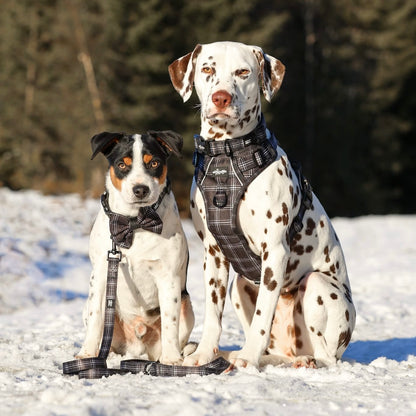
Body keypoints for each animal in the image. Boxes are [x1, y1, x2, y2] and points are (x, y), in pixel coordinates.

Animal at [77, 130, 195, 364]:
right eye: (122, 164)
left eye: (155, 163)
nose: (140, 189)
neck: (135, 222)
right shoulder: (101, 274)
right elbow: (96, 319)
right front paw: (86, 354)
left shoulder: (168, 278)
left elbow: (170, 321)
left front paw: (171, 360)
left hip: (187, 305)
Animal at [167, 41, 356, 368]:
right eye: (207, 68)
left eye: (243, 72)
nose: (221, 97)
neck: (227, 156)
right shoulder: (214, 254)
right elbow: (213, 316)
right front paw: (204, 354)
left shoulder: (275, 252)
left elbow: (261, 318)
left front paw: (247, 357)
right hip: (239, 286)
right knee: (275, 351)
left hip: (317, 285)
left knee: (326, 357)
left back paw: (301, 361)